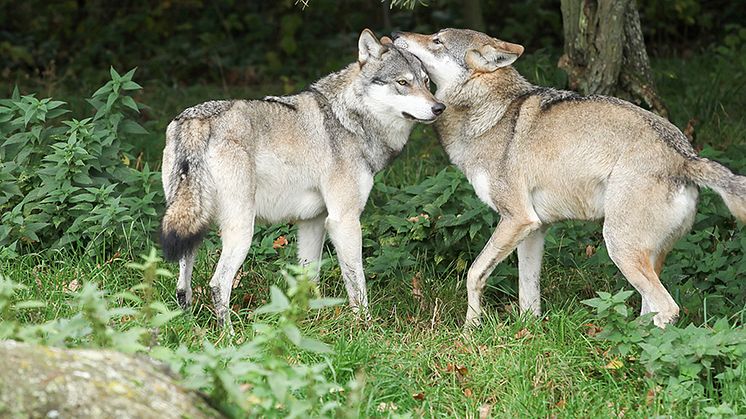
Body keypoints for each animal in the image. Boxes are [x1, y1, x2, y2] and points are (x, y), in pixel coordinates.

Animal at [160, 29, 442, 326]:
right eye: (403, 82)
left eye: (425, 81)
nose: (440, 107)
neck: (350, 120)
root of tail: (195, 120)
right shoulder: (344, 220)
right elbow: (357, 284)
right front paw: (364, 326)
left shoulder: (312, 222)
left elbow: (309, 277)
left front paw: (311, 320)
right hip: (241, 230)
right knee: (218, 283)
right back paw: (228, 334)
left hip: (191, 227)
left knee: (183, 285)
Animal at [392, 27, 740, 330]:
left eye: (436, 40)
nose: (395, 34)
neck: (488, 111)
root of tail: (686, 156)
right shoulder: (533, 229)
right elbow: (528, 295)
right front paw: (526, 335)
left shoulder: (516, 219)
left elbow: (474, 274)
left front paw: (470, 330)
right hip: (644, 256)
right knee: (649, 307)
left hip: (618, 246)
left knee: (667, 308)